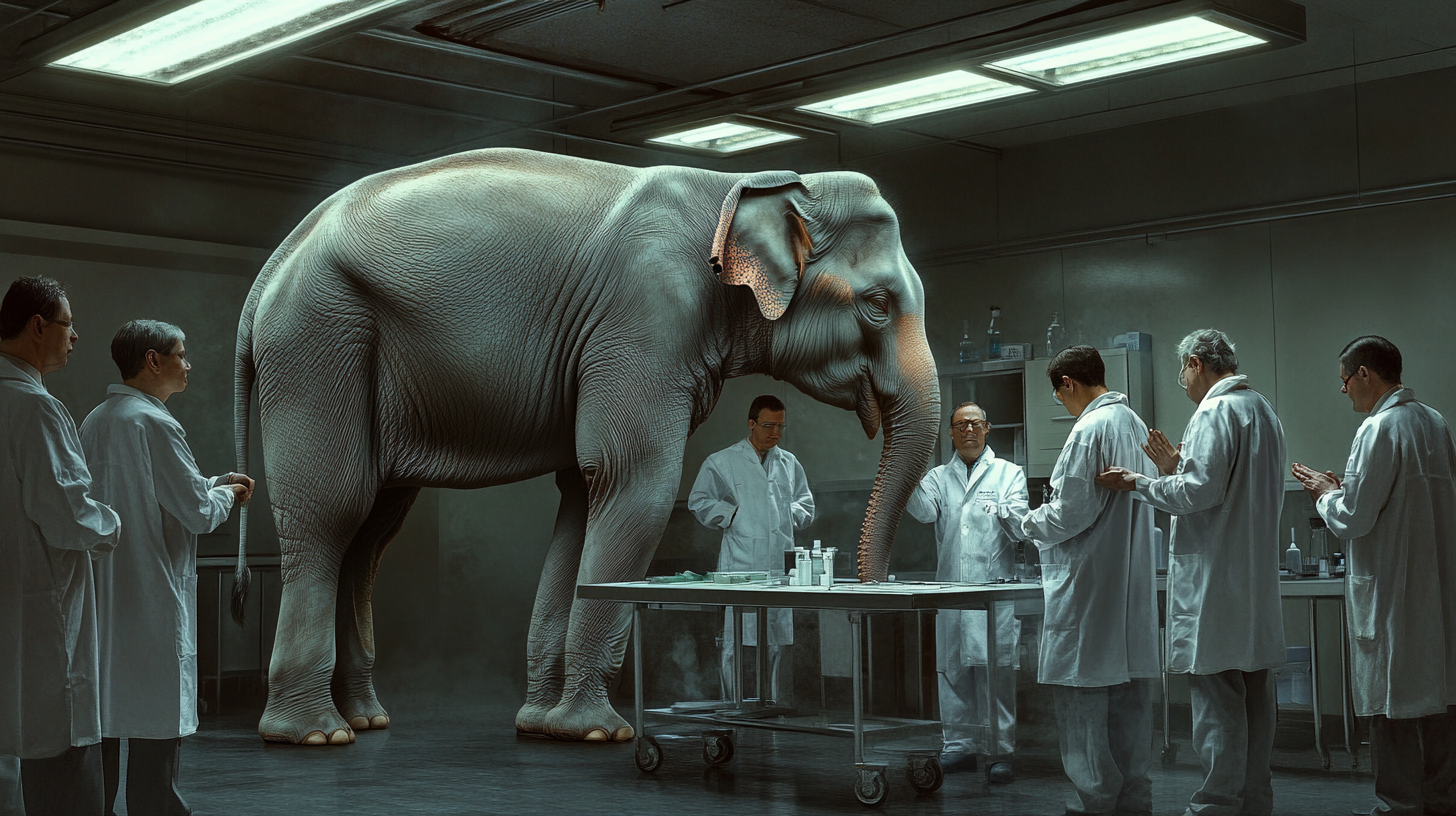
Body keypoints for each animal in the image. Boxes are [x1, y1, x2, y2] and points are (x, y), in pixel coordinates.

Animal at [235, 146, 943, 746]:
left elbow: (583, 494)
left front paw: (545, 726)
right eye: (878, 304)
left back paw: (366, 719)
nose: (871, 591)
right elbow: (635, 484)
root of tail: (272, 266)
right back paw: (314, 735)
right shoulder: (647, 321)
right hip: (319, 335)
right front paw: (600, 732)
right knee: (333, 509)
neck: (743, 182)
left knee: (372, 529)